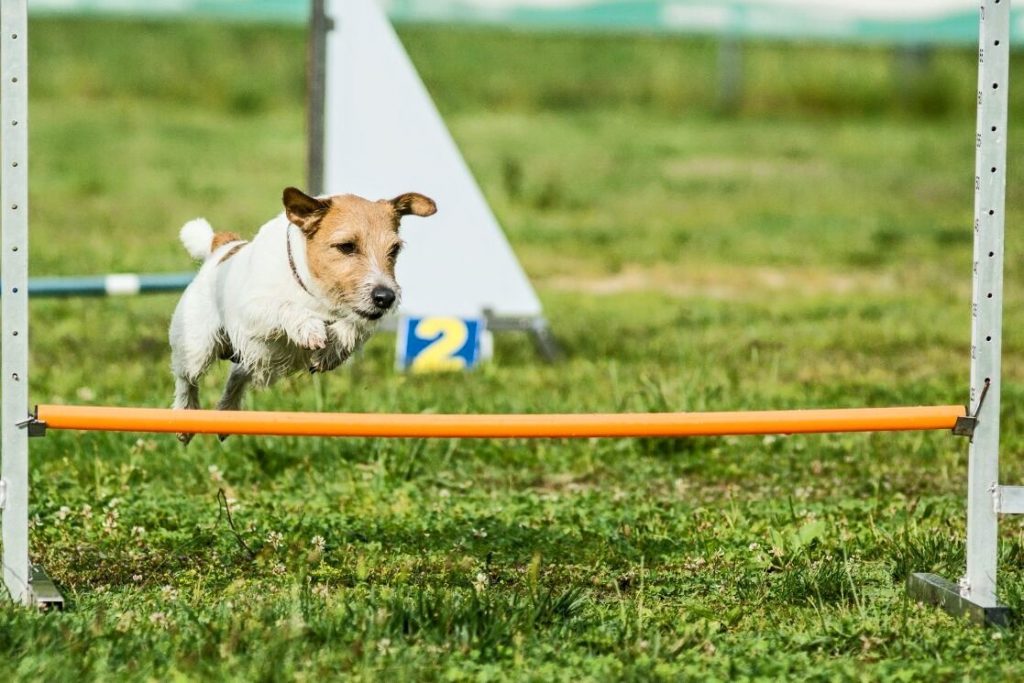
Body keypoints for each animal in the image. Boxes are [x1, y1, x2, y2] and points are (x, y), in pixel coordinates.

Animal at [169, 187, 434, 444]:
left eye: (395, 249)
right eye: (346, 246)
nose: (386, 297)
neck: (317, 294)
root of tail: (222, 248)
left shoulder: (363, 316)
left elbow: (354, 325)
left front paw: (331, 351)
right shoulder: (252, 310)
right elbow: (285, 306)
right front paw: (309, 328)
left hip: (259, 359)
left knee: (238, 375)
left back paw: (227, 413)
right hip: (198, 347)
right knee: (187, 378)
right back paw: (186, 418)